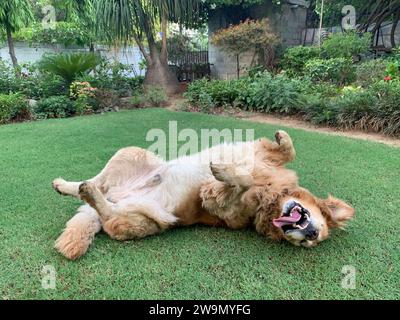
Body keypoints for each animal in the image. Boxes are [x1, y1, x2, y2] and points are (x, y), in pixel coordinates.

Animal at [52, 131, 354, 260]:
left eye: (310, 243)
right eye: (319, 231)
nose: (310, 234)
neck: (271, 195)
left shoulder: (216, 201)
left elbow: (240, 182)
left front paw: (224, 172)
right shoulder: (260, 153)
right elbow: (287, 151)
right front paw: (282, 138)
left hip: (146, 220)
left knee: (107, 210)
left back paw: (88, 194)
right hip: (131, 153)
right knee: (98, 181)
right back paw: (65, 184)